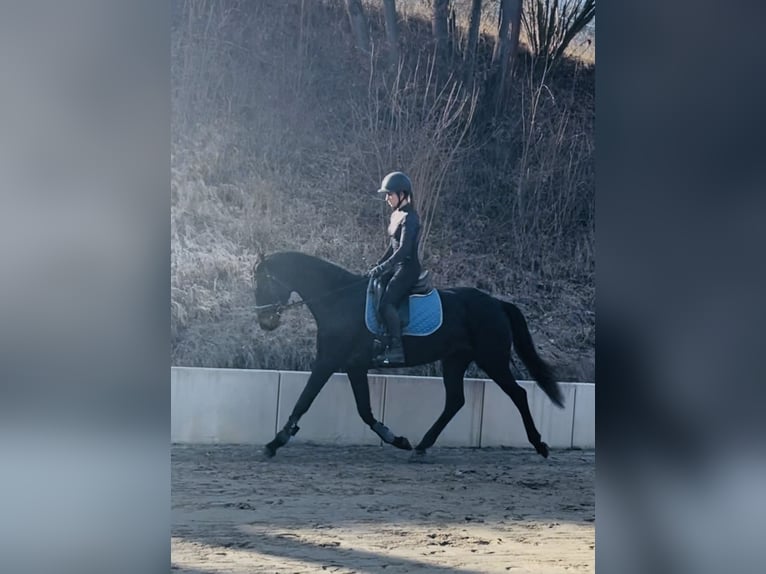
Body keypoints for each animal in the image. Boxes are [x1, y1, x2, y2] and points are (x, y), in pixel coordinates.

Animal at [256, 254, 564, 462]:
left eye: (261, 283)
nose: (264, 321)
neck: (337, 300)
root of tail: (497, 303)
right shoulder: (354, 366)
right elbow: (364, 410)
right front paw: (398, 439)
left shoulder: (328, 361)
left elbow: (305, 399)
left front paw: (275, 442)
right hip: (455, 360)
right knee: (455, 401)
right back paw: (420, 446)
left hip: (492, 360)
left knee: (518, 394)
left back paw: (539, 445)